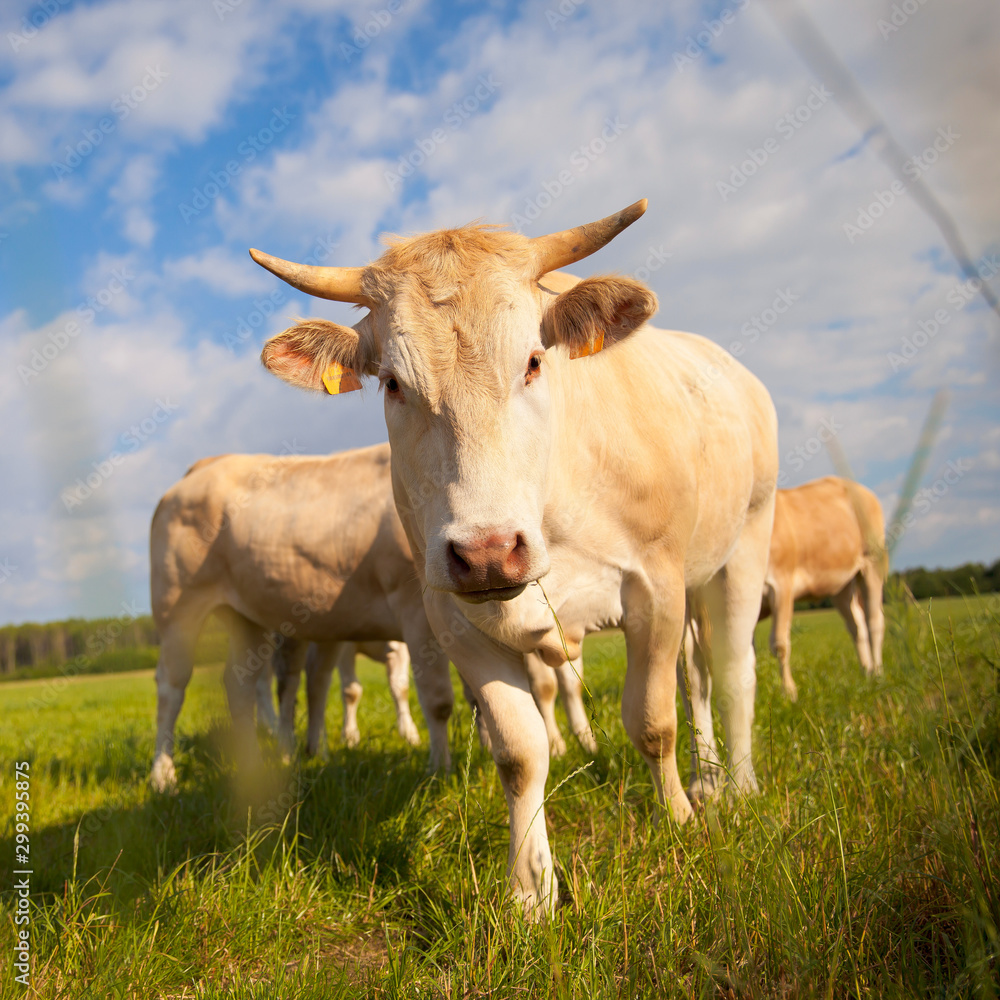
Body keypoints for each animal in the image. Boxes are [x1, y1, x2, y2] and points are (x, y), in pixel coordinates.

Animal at [147, 444, 454, 788]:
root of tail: (205, 466)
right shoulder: (417, 612)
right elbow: (437, 700)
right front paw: (440, 773)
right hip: (178, 607)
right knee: (171, 687)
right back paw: (163, 775)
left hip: (247, 617)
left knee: (240, 685)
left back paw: (253, 769)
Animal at [252, 201, 780, 916]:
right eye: (391, 383)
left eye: (533, 361)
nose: (487, 552)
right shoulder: (455, 620)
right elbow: (520, 751)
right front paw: (531, 889)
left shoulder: (657, 587)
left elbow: (651, 720)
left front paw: (677, 819)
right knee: (696, 674)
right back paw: (710, 778)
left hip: (743, 542)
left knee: (728, 669)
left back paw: (736, 784)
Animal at [756, 474, 884, 696]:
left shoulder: (780, 585)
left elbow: (780, 643)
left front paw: (789, 692)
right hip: (841, 585)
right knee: (856, 624)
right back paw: (866, 672)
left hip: (872, 563)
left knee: (874, 621)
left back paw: (877, 673)